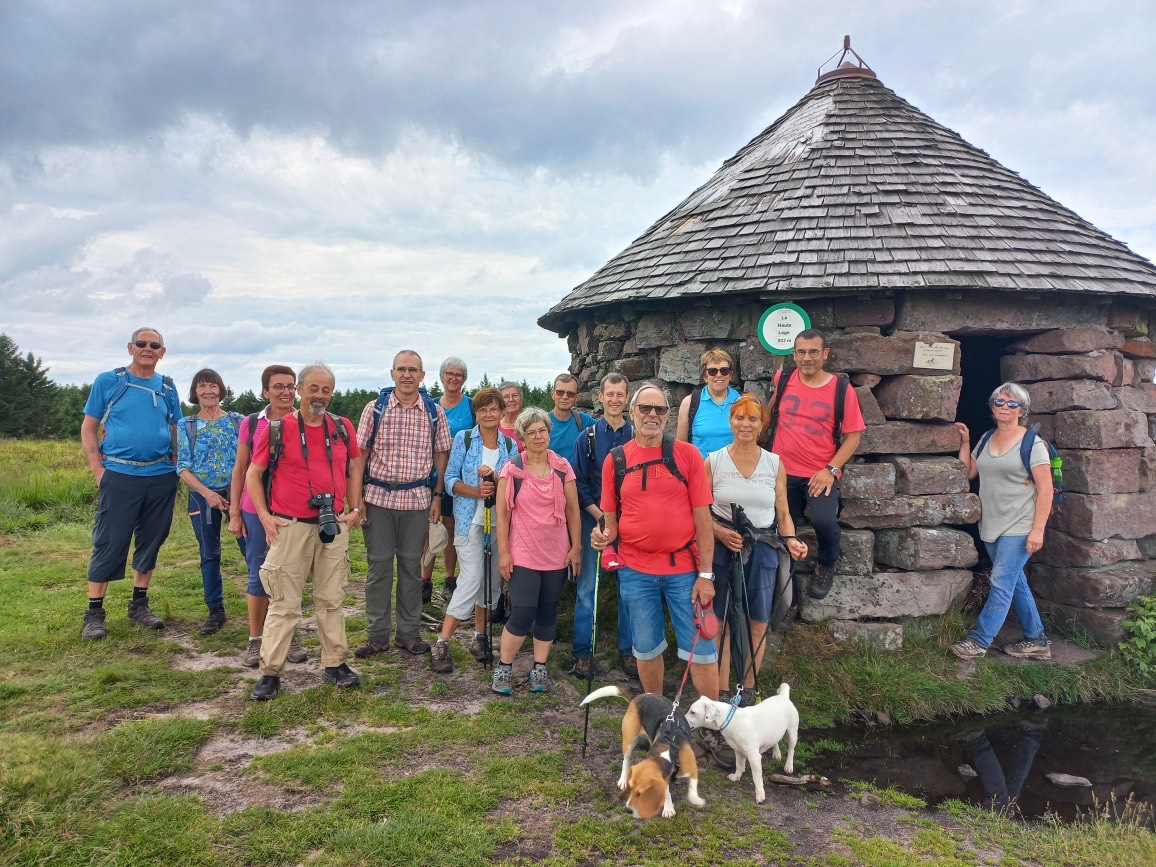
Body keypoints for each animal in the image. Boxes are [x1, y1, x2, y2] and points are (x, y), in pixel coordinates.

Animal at [580, 684, 705, 819]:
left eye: (640, 793)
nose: (627, 809)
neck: (670, 744)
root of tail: (638, 696)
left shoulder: (692, 766)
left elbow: (692, 788)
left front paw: (695, 800)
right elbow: (666, 790)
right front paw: (668, 807)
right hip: (630, 739)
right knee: (626, 760)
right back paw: (623, 780)